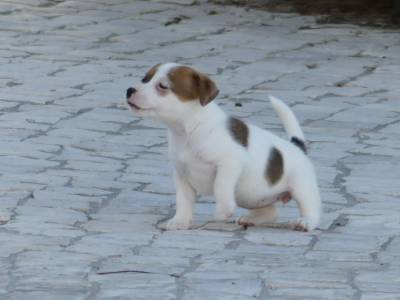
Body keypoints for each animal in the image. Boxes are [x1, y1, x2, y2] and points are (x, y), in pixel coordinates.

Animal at [126, 62, 320, 232]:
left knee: (311, 209)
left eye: (162, 86)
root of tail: (297, 146)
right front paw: (180, 222)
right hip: (253, 197)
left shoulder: (229, 164)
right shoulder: (181, 175)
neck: (189, 130)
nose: (129, 90)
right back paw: (251, 219)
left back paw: (305, 222)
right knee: (271, 211)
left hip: (301, 187)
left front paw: (222, 211)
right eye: (145, 79)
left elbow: (221, 187)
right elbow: (184, 201)